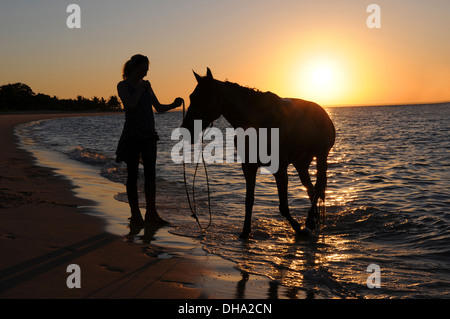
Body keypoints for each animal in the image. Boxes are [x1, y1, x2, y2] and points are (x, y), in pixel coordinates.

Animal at [180, 69, 334, 239]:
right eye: (191, 97)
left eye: (205, 96)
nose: (186, 129)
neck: (258, 122)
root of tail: (322, 111)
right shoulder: (248, 167)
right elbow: (249, 200)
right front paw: (245, 231)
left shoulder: (279, 169)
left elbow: (283, 206)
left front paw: (297, 228)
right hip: (301, 162)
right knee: (310, 188)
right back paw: (312, 220)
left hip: (321, 155)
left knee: (318, 187)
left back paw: (309, 221)